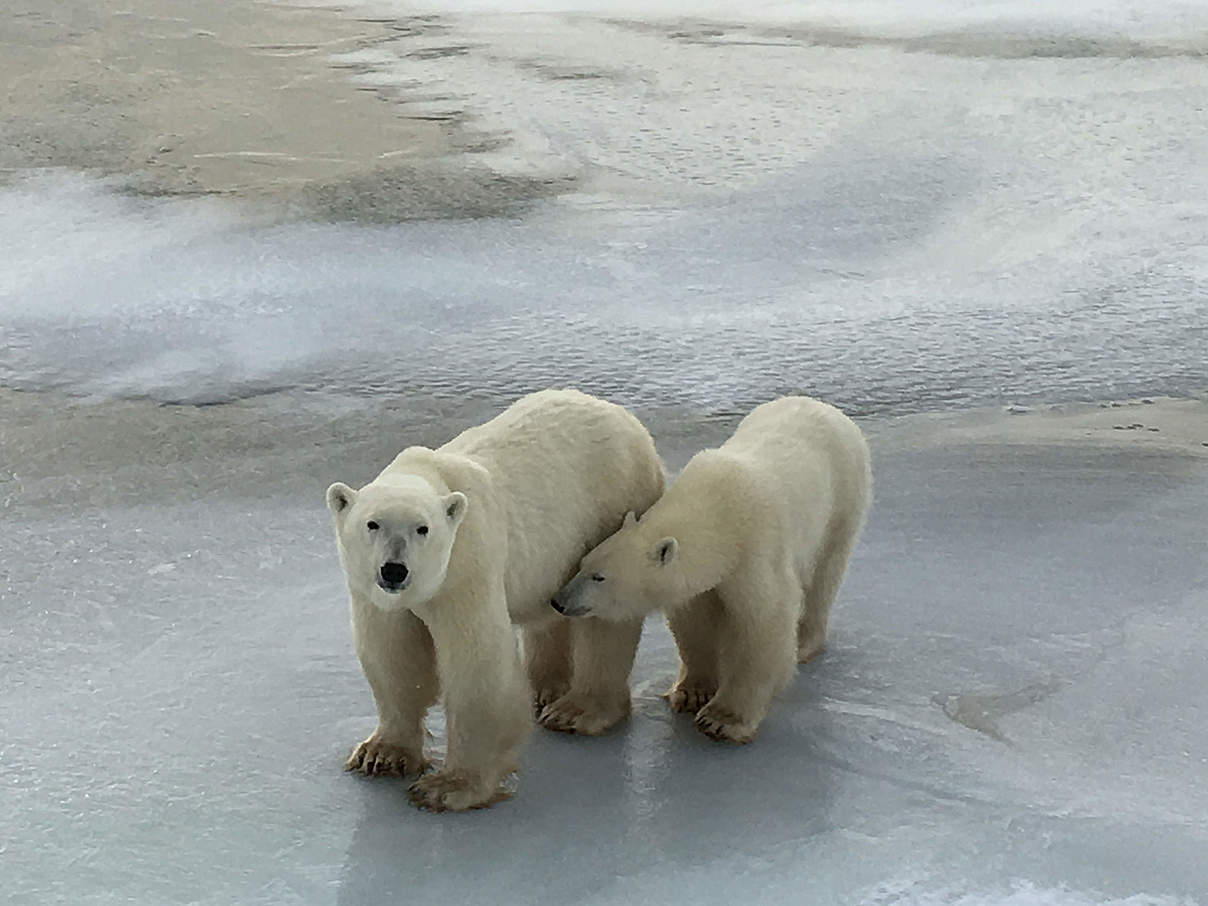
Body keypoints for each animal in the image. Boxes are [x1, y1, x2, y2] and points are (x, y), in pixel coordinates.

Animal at [328, 386, 661, 811]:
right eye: (372, 524)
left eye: (423, 529)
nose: (394, 570)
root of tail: (624, 416)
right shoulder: (373, 594)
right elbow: (392, 655)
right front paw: (381, 754)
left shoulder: (468, 564)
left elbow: (477, 666)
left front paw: (449, 786)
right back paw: (547, 688)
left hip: (613, 506)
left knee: (604, 618)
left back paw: (576, 710)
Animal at [553, 396, 874, 744]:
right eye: (582, 563)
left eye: (600, 577)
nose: (559, 601)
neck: (718, 511)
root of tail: (826, 407)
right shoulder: (702, 578)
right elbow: (696, 620)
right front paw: (692, 692)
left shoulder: (755, 549)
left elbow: (764, 621)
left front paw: (723, 719)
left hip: (844, 497)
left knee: (826, 572)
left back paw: (805, 641)